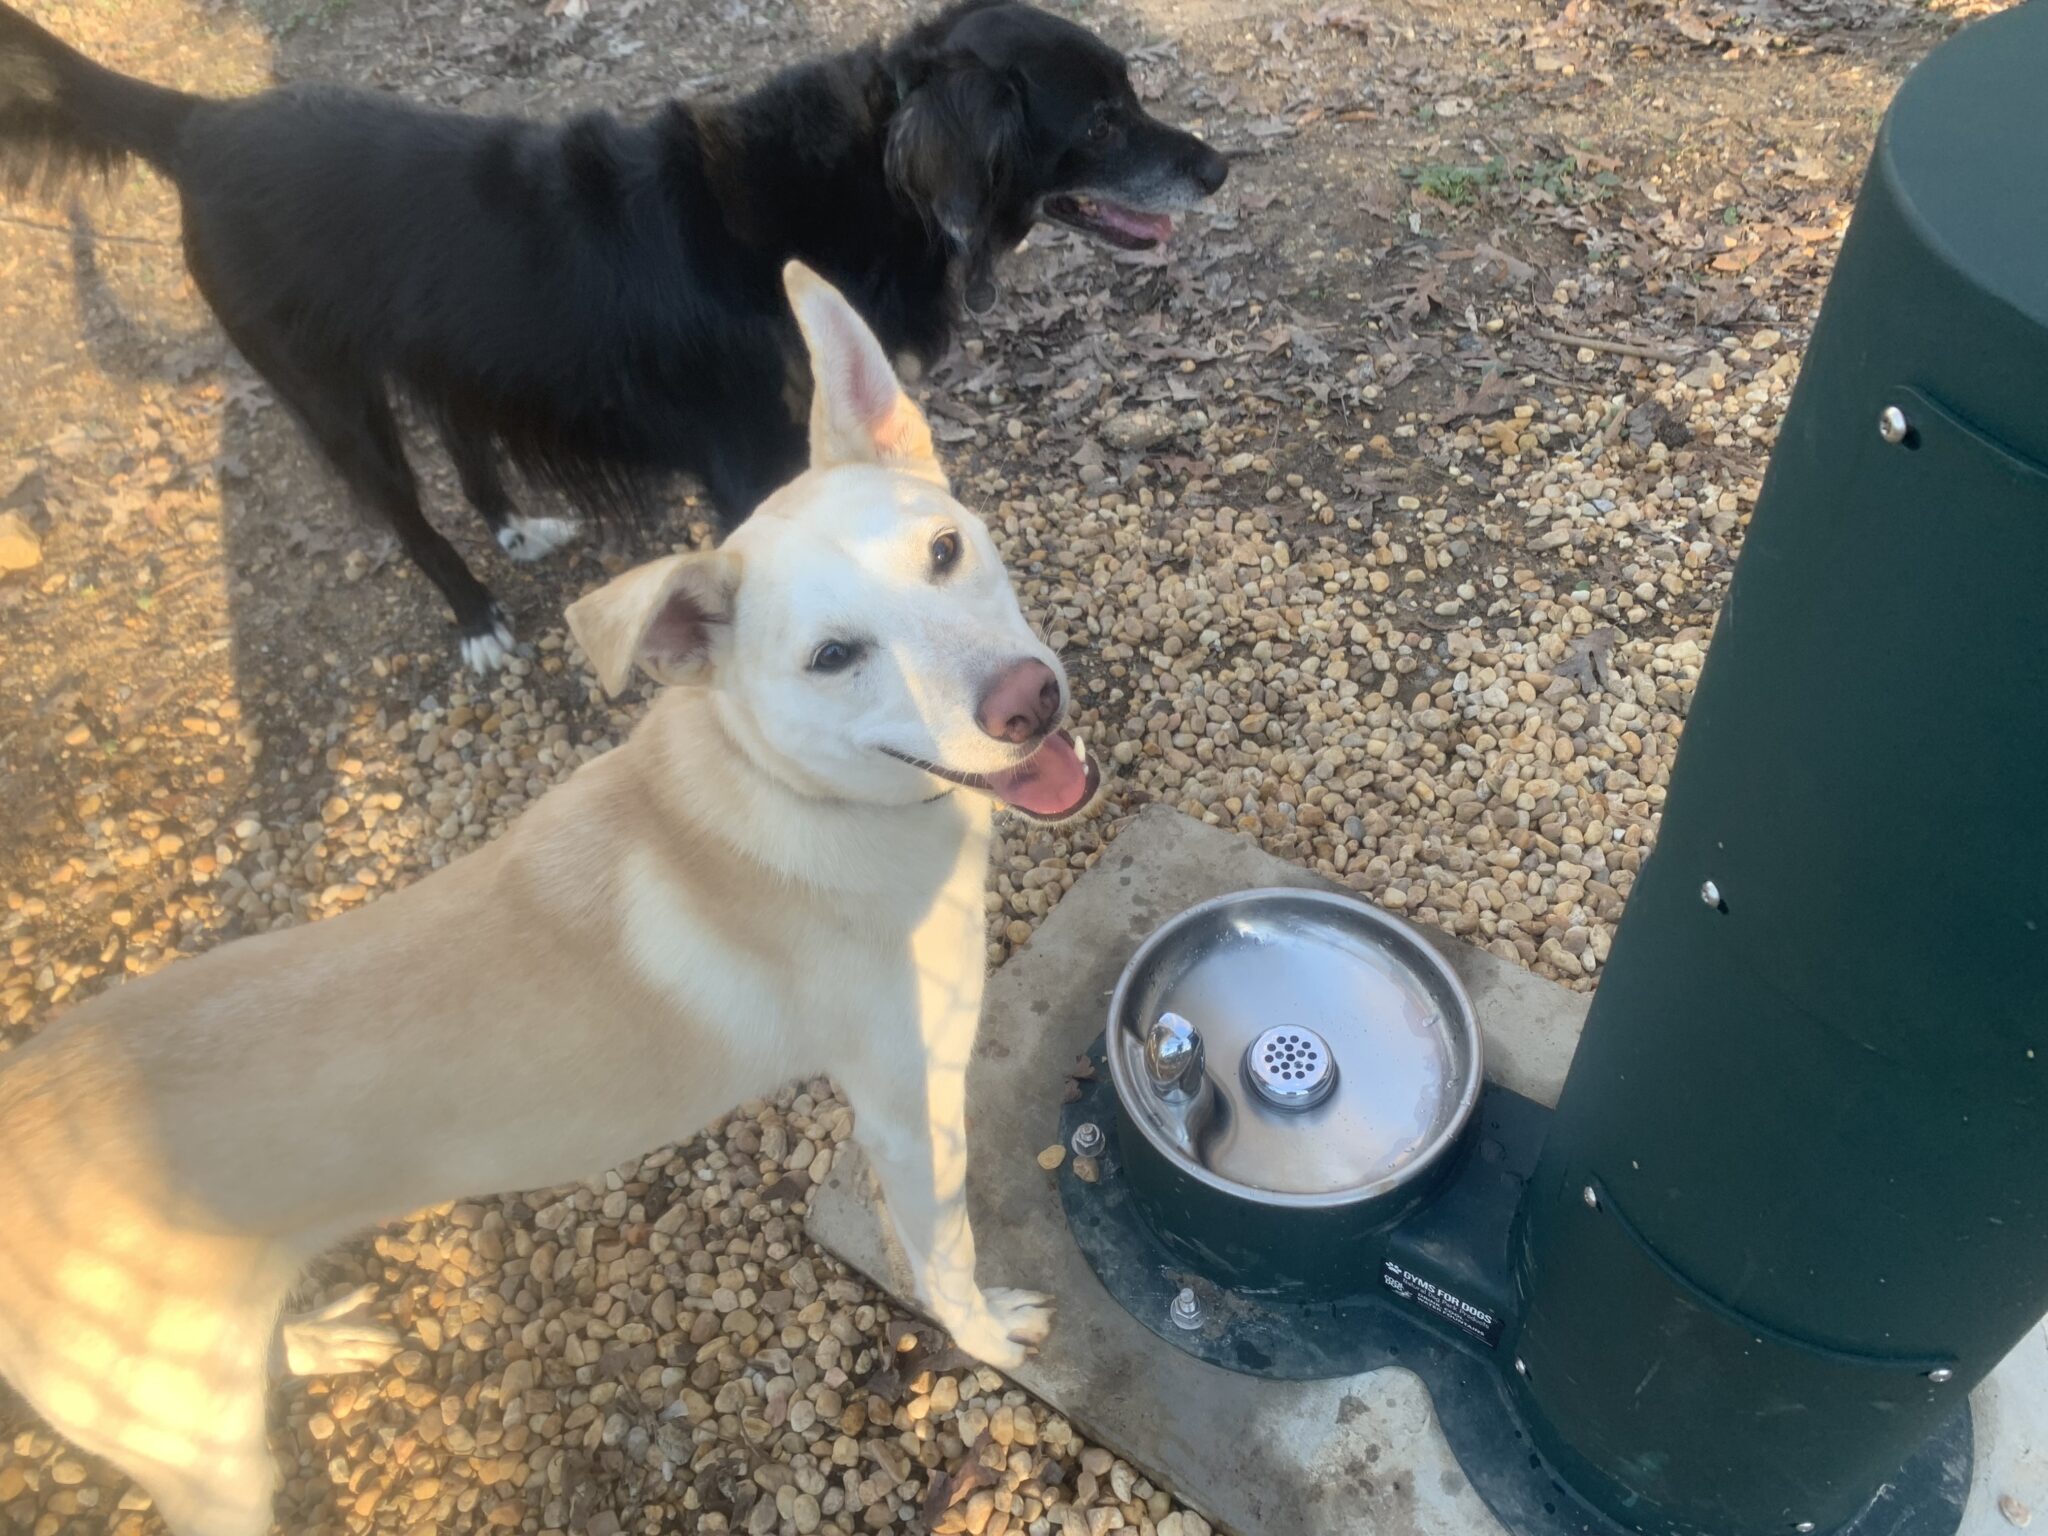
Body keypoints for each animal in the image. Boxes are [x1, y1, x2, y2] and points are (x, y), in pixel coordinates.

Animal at [0, 3, 1212, 671]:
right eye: (1102, 118)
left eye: (1130, 92)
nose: (1218, 167)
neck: (863, 182)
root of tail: (200, 123)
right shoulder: (752, 466)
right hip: (328, 392)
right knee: (403, 509)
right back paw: (477, 620)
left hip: (445, 354)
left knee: (464, 437)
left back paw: (514, 527)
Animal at [0, 262, 1105, 1536]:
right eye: (832, 657)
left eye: (943, 548)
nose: (1028, 700)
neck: (788, 793)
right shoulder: (910, 1107)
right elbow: (950, 1257)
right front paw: (991, 1338)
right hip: (196, 1453)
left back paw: (319, 1343)